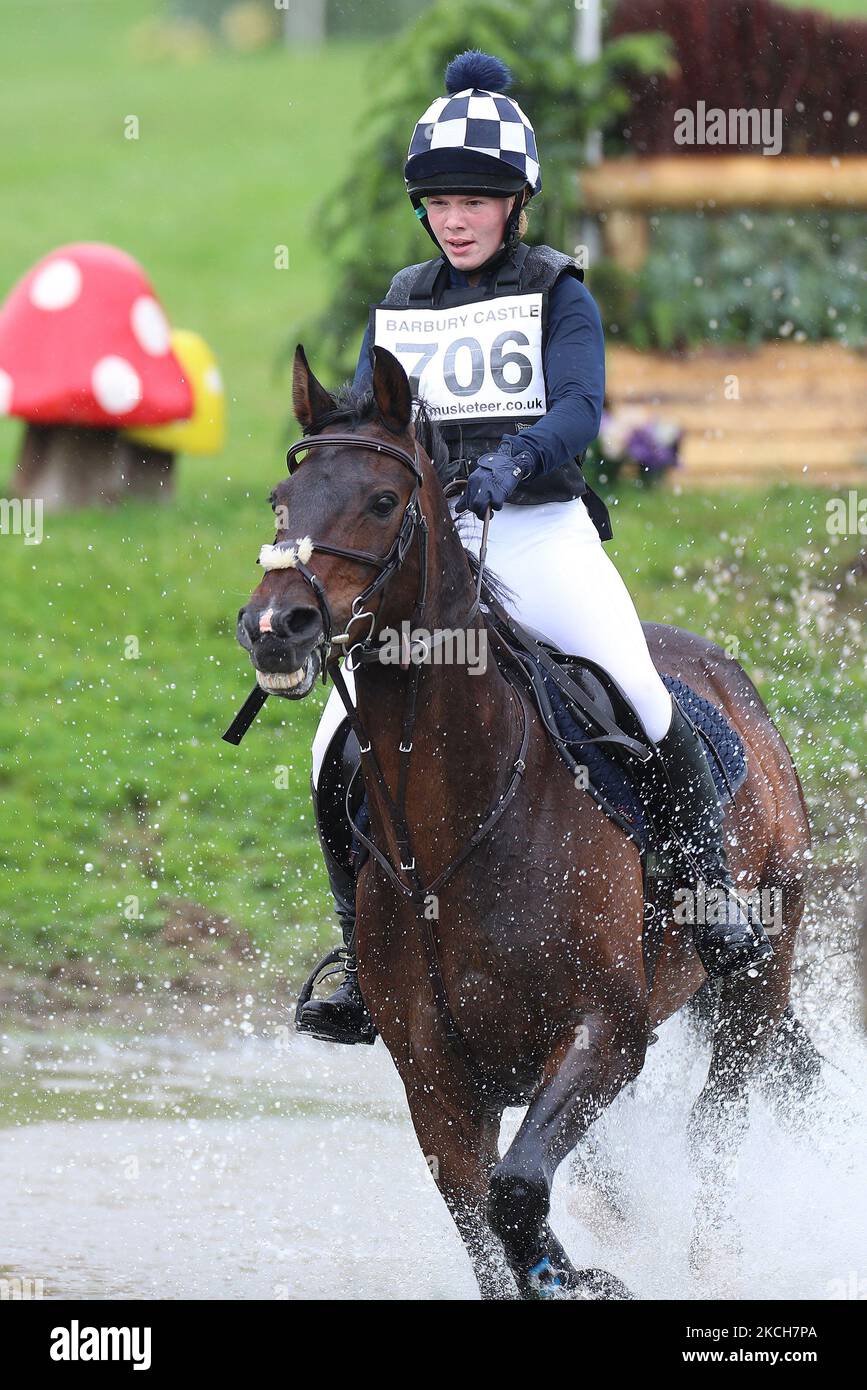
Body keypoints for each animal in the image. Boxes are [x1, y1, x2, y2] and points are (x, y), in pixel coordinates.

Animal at [233, 341, 816, 1295]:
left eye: (382, 500)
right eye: (283, 500)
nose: (275, 625)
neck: (451, 833)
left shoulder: (602, 1036)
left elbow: (514, 1196)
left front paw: (576, 1274)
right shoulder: (436, 1083)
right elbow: (487, 1222)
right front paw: (561, 1266)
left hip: (757, 975)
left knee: (715, 1128)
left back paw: (711, 1262)